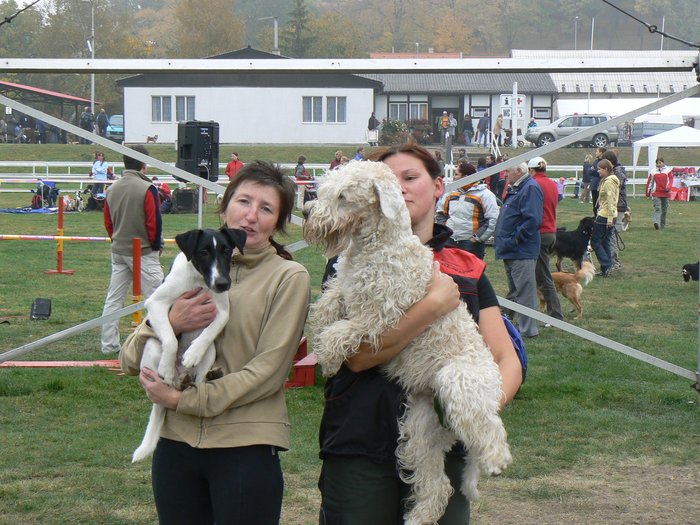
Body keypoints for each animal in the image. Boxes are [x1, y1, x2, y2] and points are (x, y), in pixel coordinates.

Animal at [304, 161, 512, 524]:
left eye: (343, 195)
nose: (306, 213)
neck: (376, 247)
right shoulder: (347, 289)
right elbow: (330, 300)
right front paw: (320, 329)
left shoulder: (379, 317)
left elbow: (342, 331)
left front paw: (328, 359)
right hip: (418, 430)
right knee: (437, 487)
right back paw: (416, 518)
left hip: (458, 382)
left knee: (490, 430)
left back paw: (495, 463)